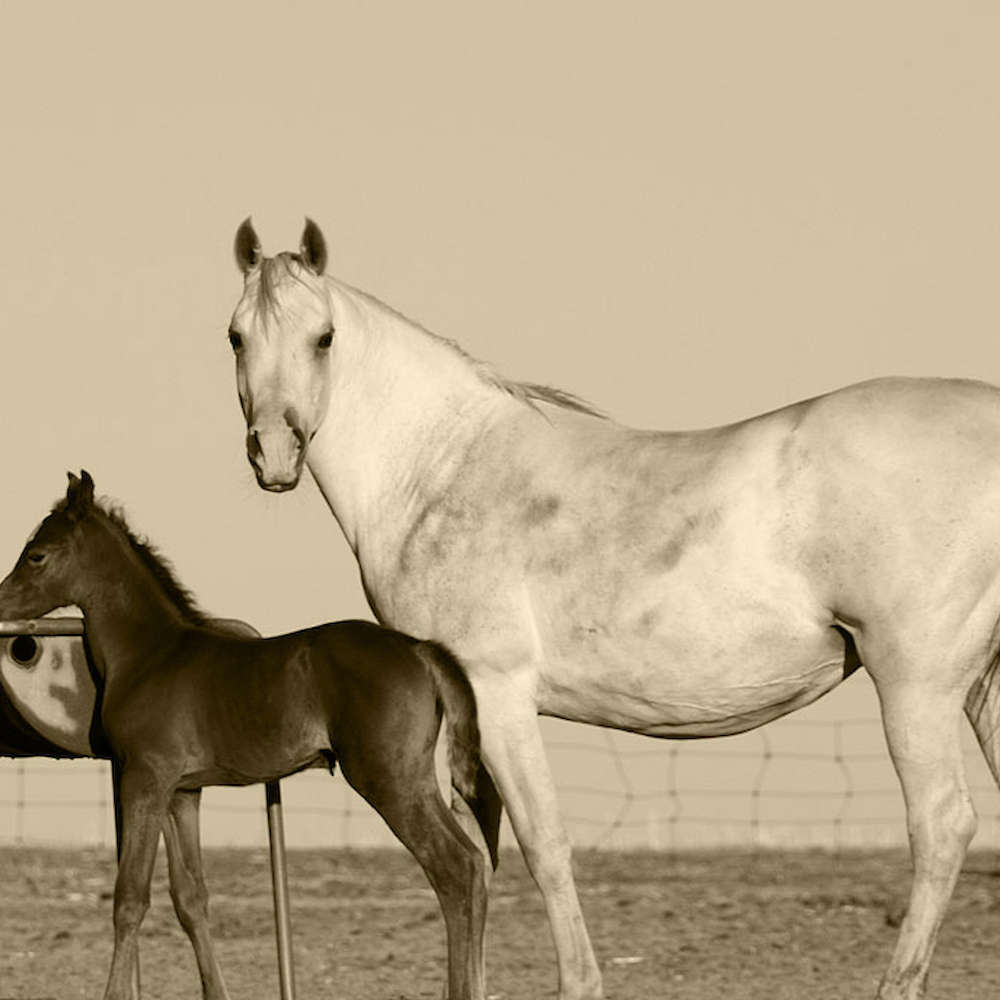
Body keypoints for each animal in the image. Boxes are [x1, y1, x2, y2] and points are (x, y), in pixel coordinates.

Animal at [0, 471, 499, 1000]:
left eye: (37, 554)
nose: (0, 603)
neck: (150, 655)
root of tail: (421, 648)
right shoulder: (182, 793)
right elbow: (191, 897)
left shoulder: (144, 780)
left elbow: (129, 896)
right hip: (414, 779)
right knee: (474, 864)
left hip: (388, 779)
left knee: (454, 868)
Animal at [226, 215, 1000, 1000]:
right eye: (236, 337)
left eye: (324, 337)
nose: (274, 454)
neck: (443, 467)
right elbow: (486, 851)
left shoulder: (498, 698)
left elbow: (542, 847)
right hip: (978, 689)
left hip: (916, 686)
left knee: (941, 826)